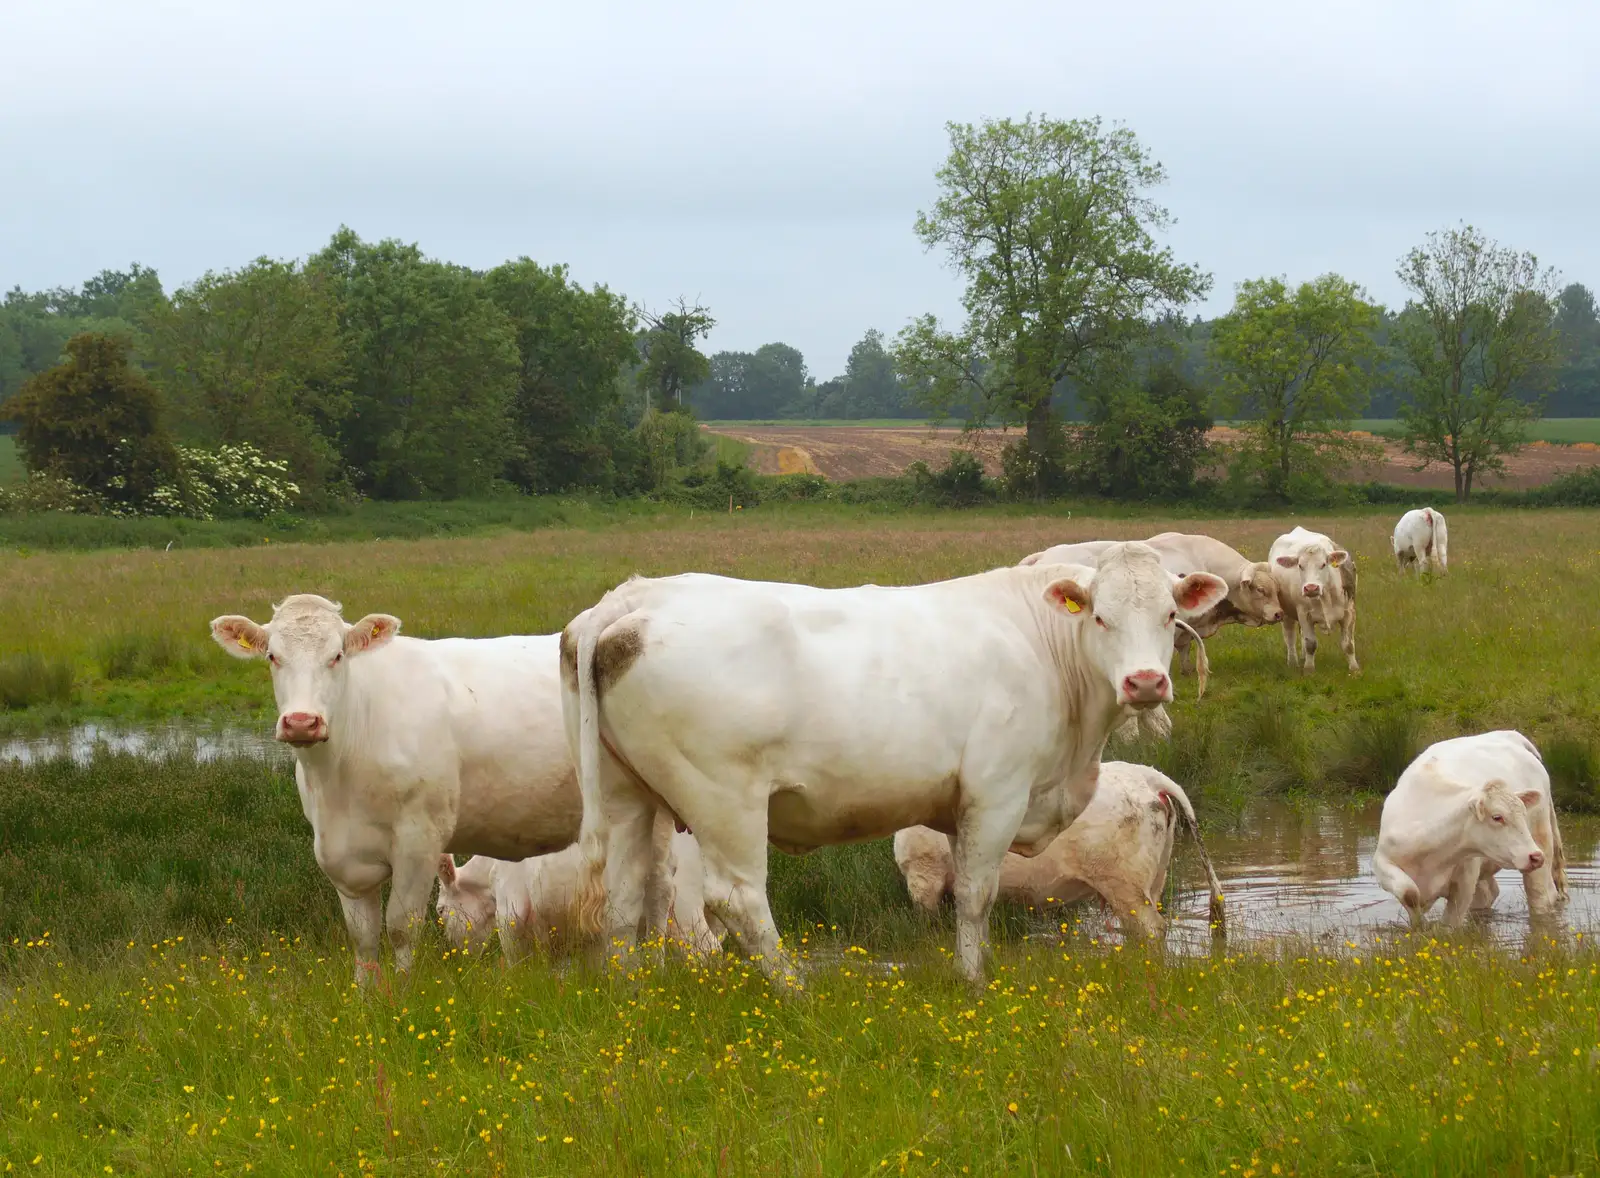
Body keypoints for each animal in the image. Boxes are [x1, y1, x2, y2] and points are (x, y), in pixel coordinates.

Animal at [1267, 528, 1356, 675]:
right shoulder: (1304, 613)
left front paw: (1354, 669)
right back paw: (1293, 662)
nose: (1311, 588)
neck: (1326, 595)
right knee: (1290, 637)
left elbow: (1348, 644)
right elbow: (1311, 644)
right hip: (1286, 614)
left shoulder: (1348, 613)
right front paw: (1309, 670)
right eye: (1300, 565)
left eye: (1323, 564)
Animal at [1369, 726, 1568, 928]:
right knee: (1488, 894)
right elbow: (1409, 893)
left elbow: (1450, 922)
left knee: (1541, 895)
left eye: (1523, 814)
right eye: (1497, 817)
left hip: (1541, 840)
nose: (1535, 856)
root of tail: (1510, 734)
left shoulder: (1465, 880)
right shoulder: (1382, 862)